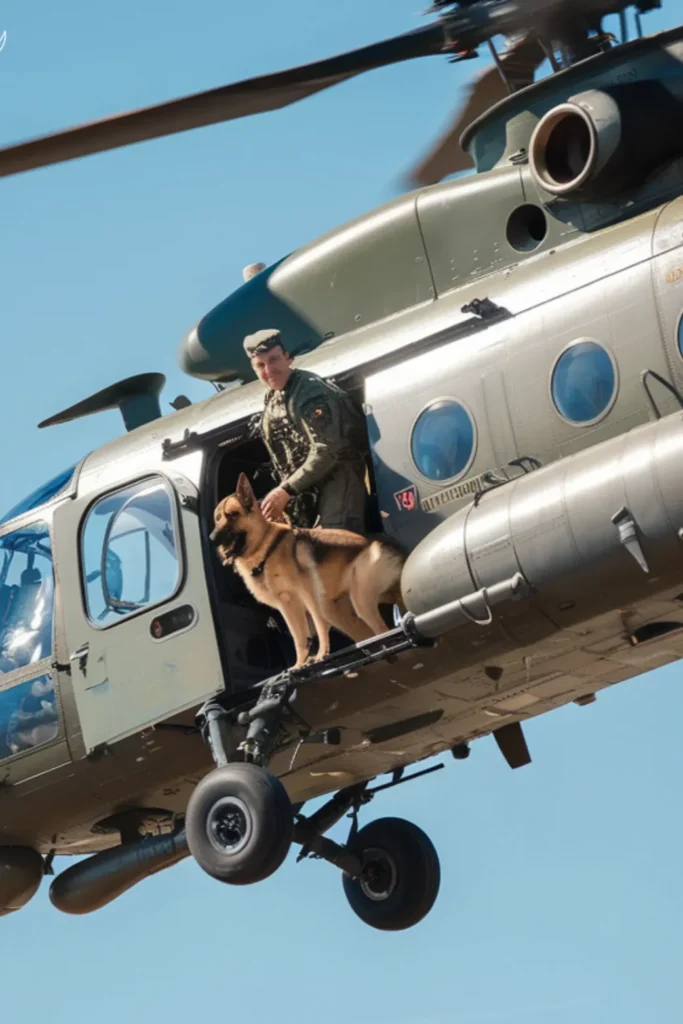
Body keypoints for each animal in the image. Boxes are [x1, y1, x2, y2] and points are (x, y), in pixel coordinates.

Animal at [211, 473, 405, 667]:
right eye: (218, 518)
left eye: (232, 515)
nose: (212, 538)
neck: (264, 548)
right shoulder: (288, 606)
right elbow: (299, 638)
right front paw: (299, 665)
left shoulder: (309, 597)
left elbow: (318, 627)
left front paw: (320, 655)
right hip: (345, 611)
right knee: (371, 634)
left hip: (359, 601)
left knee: (383, 632)